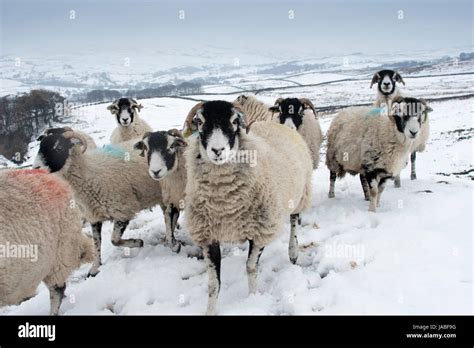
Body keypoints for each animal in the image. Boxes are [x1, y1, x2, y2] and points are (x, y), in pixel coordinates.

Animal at [183, 100, 312, 316]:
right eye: (199, 122)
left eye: (234, 121)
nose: (217, 150)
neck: (224, 203)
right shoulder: (207, 236)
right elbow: (213, 283)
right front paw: (210, 311)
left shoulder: (260, 230)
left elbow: (251, 268)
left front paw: (253, 298)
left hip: (300, 194)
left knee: (294, 222)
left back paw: (293, 252)